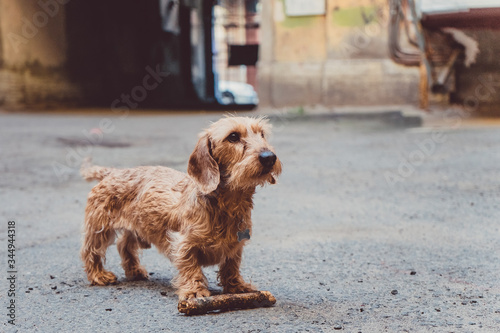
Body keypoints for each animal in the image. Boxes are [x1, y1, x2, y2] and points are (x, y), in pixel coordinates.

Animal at [80, 116, 280, 298]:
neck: (228, 206)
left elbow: (231, 266)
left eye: (262, 134)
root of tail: (113, 172)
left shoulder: (235, 246)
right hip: (99, 227)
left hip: (139, 227)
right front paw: (195, 291)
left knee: (124, 244)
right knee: (90, 251)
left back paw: (134, 270)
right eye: (233, 136)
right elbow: (190, 267)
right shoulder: (184, 243)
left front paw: (237, 286)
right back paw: (98, 275)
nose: (269, 157)